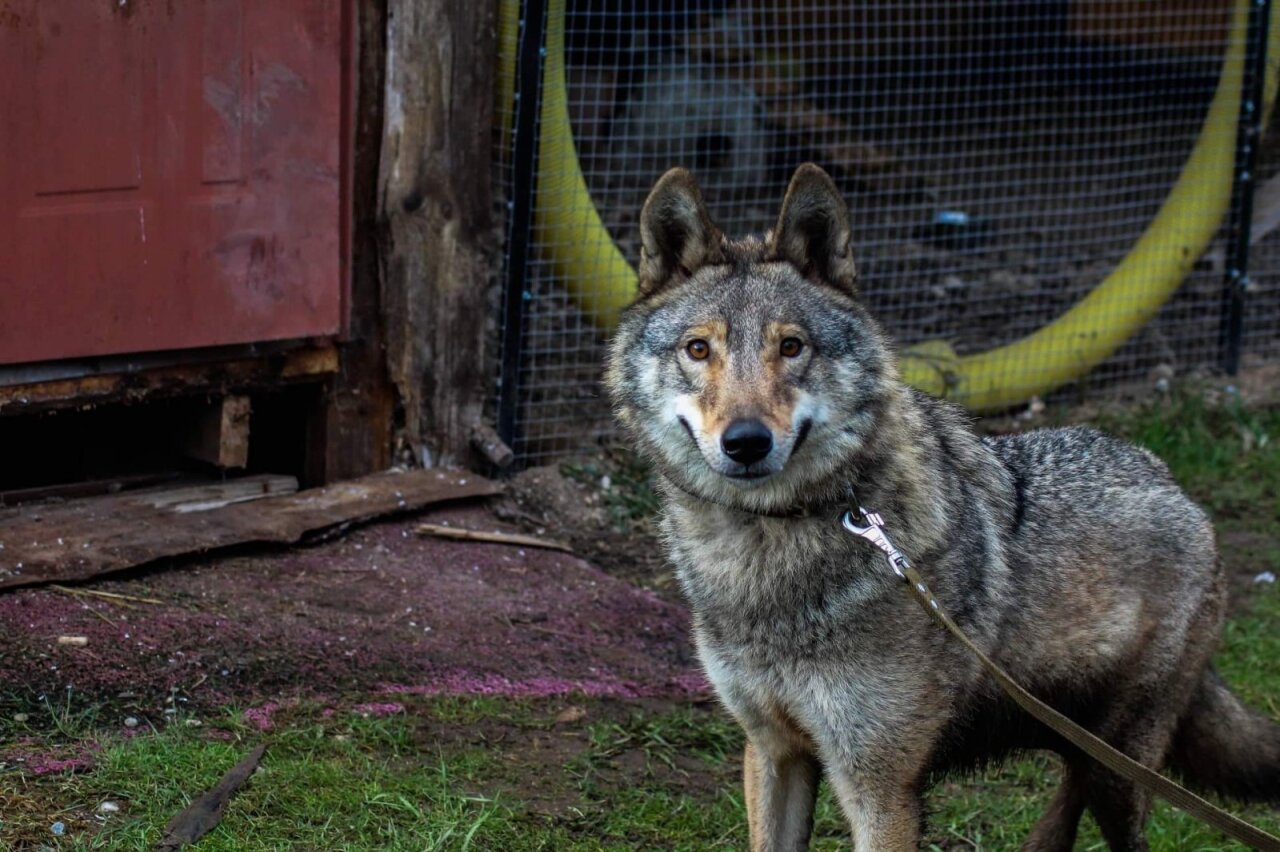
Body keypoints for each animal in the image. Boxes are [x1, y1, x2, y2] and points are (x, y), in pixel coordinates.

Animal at [601, 162, 1280, 844]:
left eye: (792, 347)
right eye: (698, 349)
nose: (745, 442)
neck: (764, 562)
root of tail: (1174, 484)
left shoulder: (879, 790)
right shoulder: (773, 752)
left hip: (1117, 772)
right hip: (1078, 753)